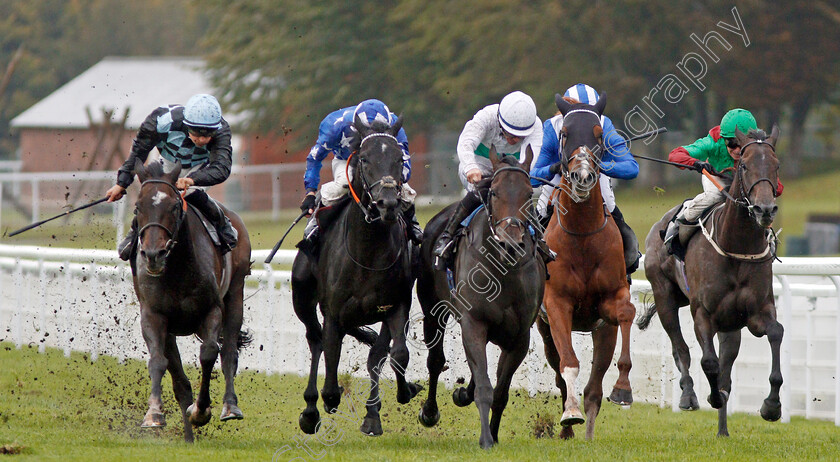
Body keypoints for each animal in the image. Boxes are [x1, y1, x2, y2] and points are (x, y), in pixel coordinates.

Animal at [130, 160, 251, 444]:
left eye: (174, 206)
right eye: (138, 207)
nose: (153, 255)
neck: (177, 269)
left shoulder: (211, 310)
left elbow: (209, 354)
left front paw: (201, 411)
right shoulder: (153, 315)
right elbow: (158, 361)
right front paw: (154, 414)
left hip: (236, 293)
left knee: (229, 351)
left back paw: (229, 406)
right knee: (179, 381)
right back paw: (188, 436)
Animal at [292, 114, 424, 436]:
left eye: (399, 157)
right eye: (364, 158)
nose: (388, 203)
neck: (367, 253)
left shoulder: (396, 304)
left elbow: (393, 354)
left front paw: (383, 408)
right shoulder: (334, 312)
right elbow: (331, 356)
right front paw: (328, 400)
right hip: (302, 298)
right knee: (315, 340)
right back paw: (310, 410)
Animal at [416, 145, 544, 448]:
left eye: (528, 194)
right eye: (494, 192)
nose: (511, 244)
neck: (503, 270)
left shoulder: (519, 336)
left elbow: (500, 391)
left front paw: (493, 435)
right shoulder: (473, 323)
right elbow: (484, 387)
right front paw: (486, 438)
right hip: (432, 309)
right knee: (435, 360)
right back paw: (430, 412)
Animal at [540, 91, 632, 440]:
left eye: (598, 134)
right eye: (564, 133)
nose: (582, 176)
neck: (581, 235)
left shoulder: (608, 304)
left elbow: (627, 312)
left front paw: (623, 388)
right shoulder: (556, 304)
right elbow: (568, 363)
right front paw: (570, 414)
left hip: (602, 331)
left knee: (594, 387)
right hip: (543, 328)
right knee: (558, 369)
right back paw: (568, 424)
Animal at [640, 125, 784, 436]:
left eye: (776, 165)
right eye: (744, 165)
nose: (765, 209)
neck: (736, 245)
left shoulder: (756, 312)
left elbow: (776, 332)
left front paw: (771, 406)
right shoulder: (703, 313)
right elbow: (708, 361)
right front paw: (711, 396)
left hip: (731, 325)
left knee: (726, 362)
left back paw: (723, 428)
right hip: (665, 297)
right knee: (680, 348)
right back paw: (688, 395)